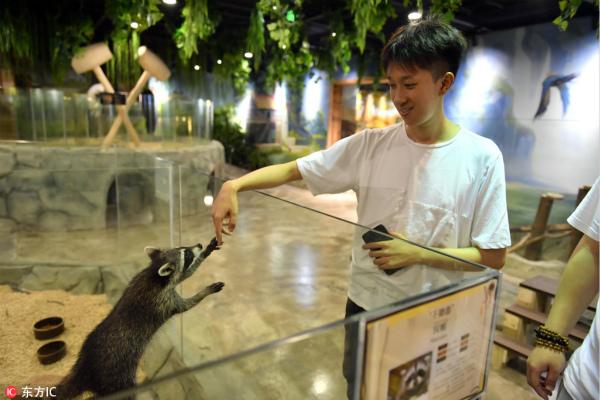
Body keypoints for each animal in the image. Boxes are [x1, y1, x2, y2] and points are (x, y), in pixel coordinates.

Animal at [55, 239, 225, 398]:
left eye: (182, 248)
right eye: (186, 255)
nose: (199, 245)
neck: (154, 274)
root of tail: (85, 372)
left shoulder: (141, 278)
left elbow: (186, 274)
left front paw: (206, 252)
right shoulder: (163, 301)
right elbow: (187, 303)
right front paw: (204, 292)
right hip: (117, 378)